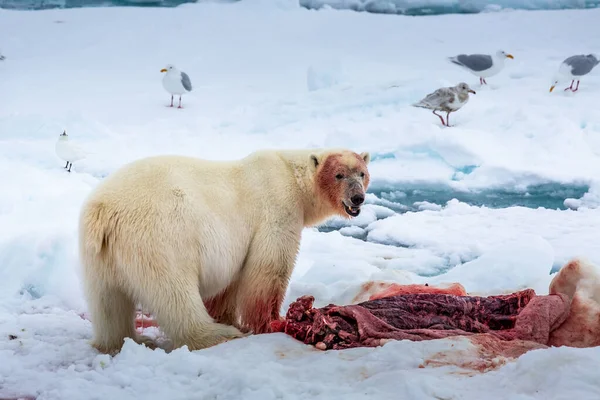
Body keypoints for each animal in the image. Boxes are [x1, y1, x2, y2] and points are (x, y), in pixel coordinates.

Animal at [79, 148, 370, 354]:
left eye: (362, 173)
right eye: (339, 175)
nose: (358, 198)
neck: (291, 175)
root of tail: (104, 211)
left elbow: (228, 284)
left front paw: (231, 318)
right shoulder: (278, 209)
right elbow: (269, 270)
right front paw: (272, 323)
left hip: (99, 255)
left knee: (108, 303)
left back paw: (124, 341)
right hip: (161, 239)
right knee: (175, 293)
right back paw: (217, 335)